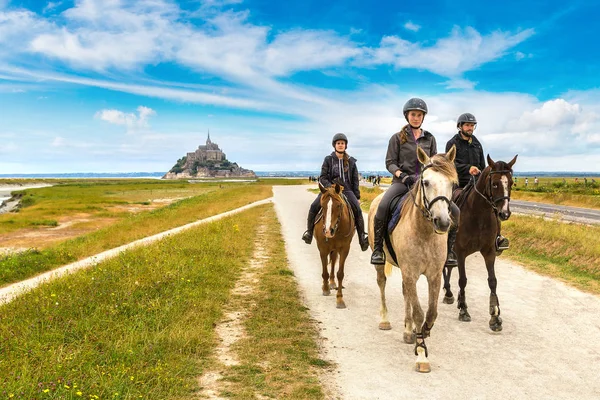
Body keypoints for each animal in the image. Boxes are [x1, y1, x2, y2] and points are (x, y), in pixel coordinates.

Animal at [314, 181, 356, 310]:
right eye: (322, 206)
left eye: (339, 206)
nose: (328, 231)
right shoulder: (322, 248)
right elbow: (324, 271)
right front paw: (325, 289)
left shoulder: (344, 249)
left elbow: (340, 274)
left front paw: (340, 299)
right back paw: (328, 285)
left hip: (335, 249)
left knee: (333, 261)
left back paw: (332, 283)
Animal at [368, 146, 458, 372]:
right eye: (425, 182)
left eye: (453, 184)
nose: (443, 222)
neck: (424, 232)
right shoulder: (410, 272)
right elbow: (419, 312)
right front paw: (421, 354)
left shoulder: (434, 276)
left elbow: (431, 312)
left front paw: (422, 332)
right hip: (383, 263)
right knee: (382, 283)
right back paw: (385, 320)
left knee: (405, 292)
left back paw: (409, 331)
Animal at [440, 153, 516, 332]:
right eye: (494, 183)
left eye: (511, 183)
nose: (504, 213)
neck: (479, 215)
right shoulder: (460, 253)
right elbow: (463, 280)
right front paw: (463, 309)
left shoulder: (489, 252)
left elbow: (492, 281)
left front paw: (495, 315)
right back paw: (448, 293)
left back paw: (450, 293)